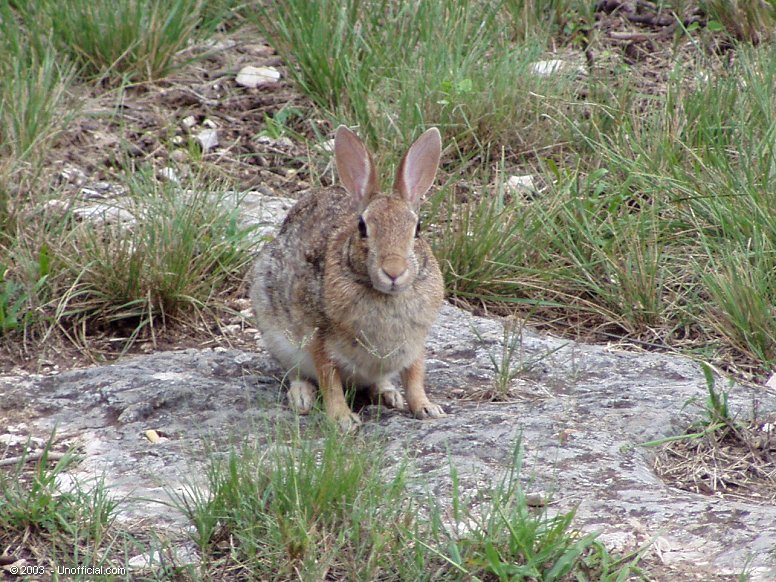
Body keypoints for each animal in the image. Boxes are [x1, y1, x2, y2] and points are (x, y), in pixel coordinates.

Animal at [252, 124, 446, 434]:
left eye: (418, 229)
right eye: (362, 227)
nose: (394, 271)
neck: (386, 296)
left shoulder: (415, 344)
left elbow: (415, 376)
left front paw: (427, 409)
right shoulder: (319, 338)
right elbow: (330, 381)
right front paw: (343, 421)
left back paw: (389, 394)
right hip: (276, 333)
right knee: (296, 373)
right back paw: (302, 398)